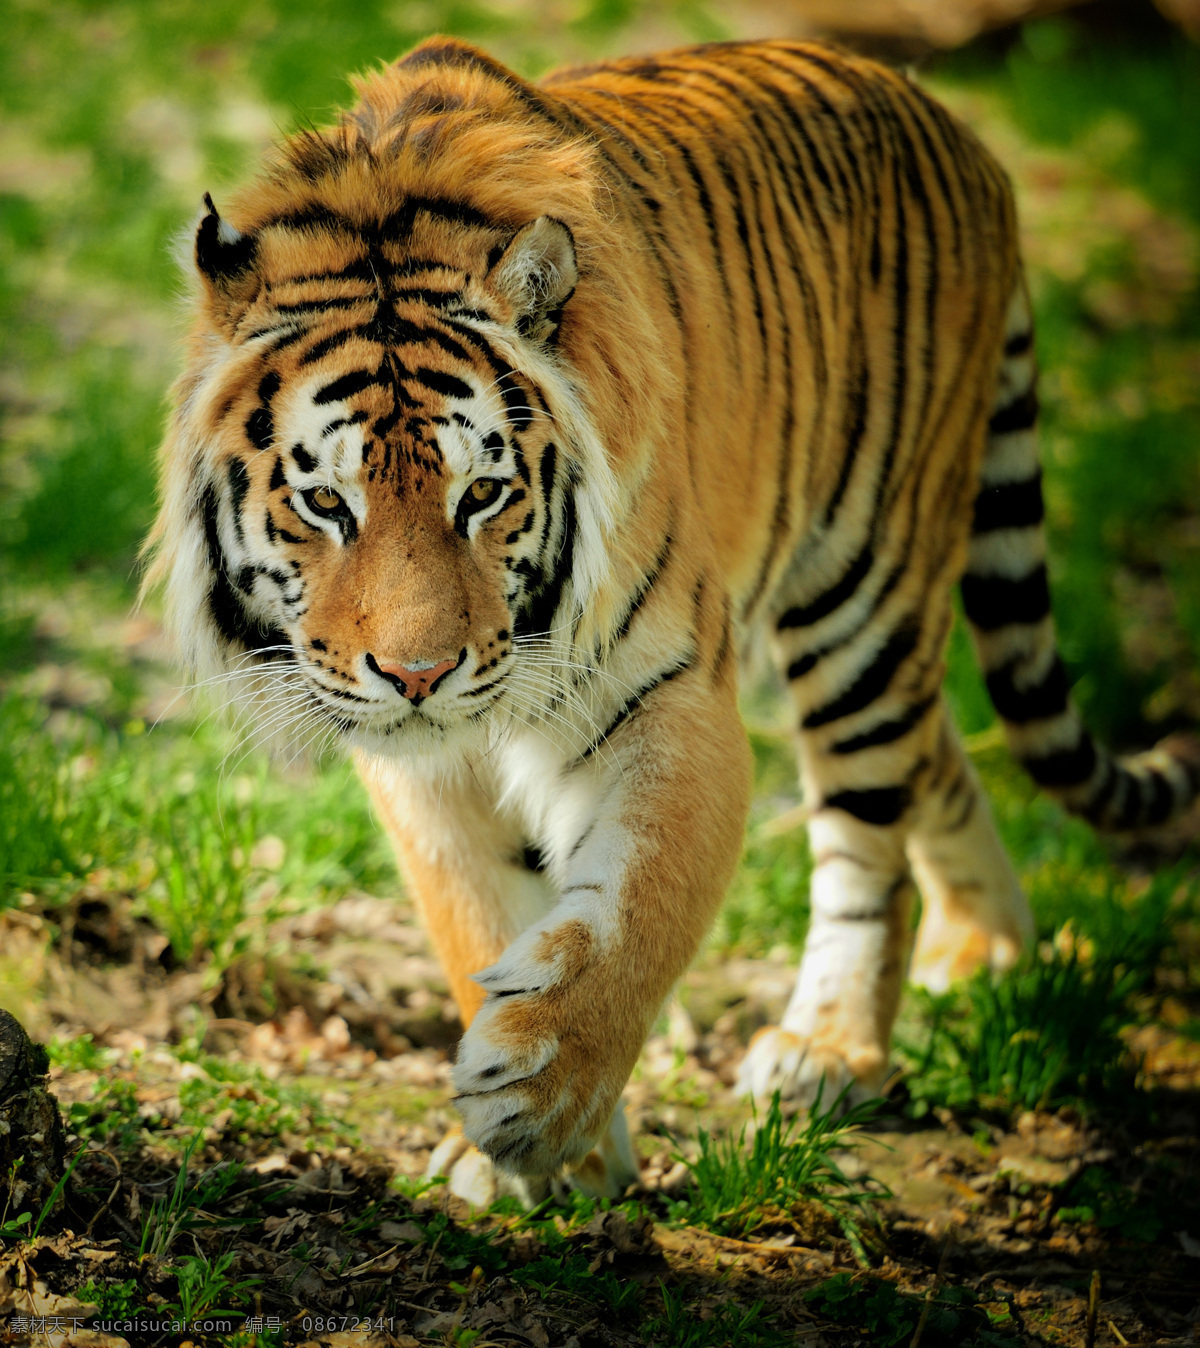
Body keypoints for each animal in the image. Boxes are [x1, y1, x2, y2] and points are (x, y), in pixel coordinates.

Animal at [146, 35, 1200, 1202]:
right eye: (326, 503)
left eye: (483, 495)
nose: (419, 674)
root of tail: (957, 128)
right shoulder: (421, 763)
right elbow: (479, 909)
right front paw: (522, 1153)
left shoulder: (670, 694)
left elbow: (640, 903)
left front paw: (540, 1097)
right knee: (938, 754)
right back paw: (986, 949)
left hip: (866, 594)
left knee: (870, 828)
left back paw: (832, 1047)